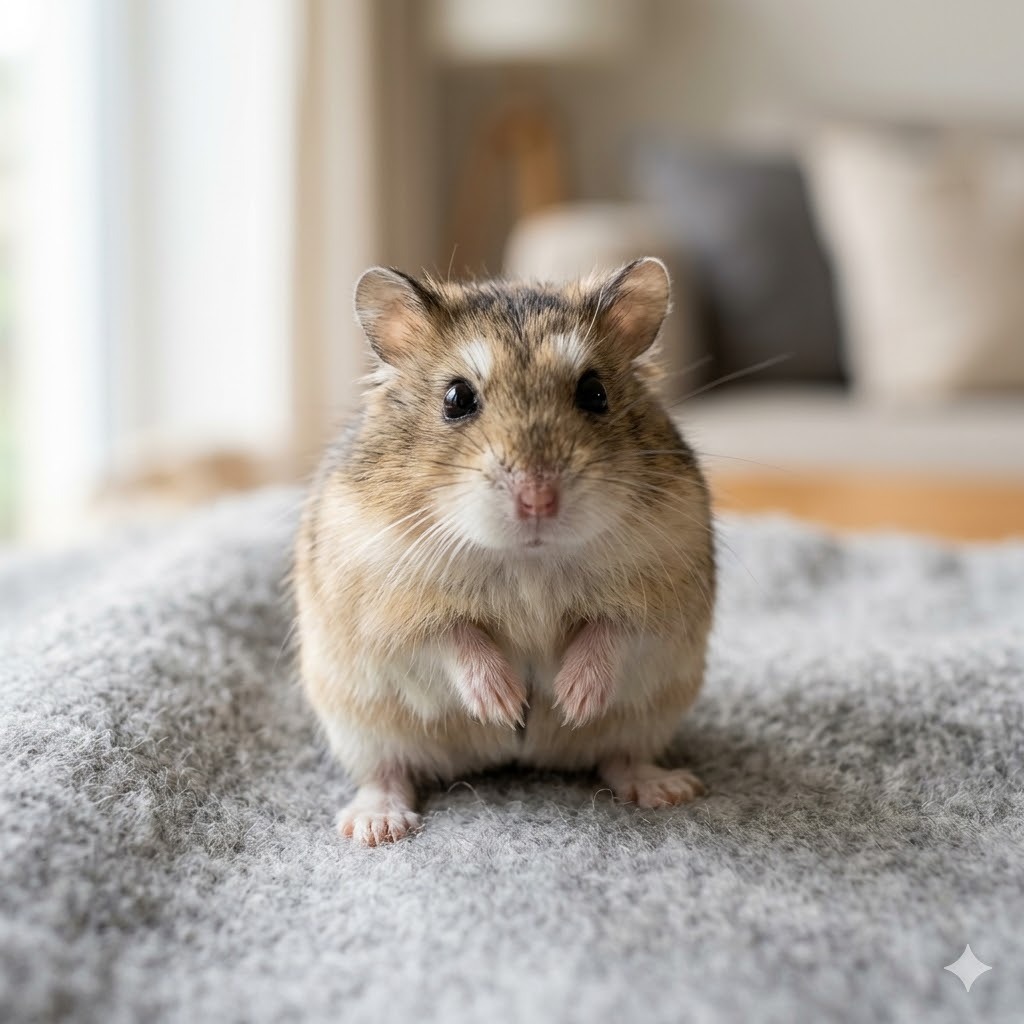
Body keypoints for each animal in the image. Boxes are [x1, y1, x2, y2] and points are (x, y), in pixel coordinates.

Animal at [293, 257, 715, 845]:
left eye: (594, 393)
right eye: (456, 399)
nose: (538, 499)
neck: (527, 557)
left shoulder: (661, 596)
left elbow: (609, 630)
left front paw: (568, 699)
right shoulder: (392, 608)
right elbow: (456, 636)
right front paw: (507, 703)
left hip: (649, 715)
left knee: (620, 758)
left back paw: (665, 788)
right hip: (360, 723)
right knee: (388, 772)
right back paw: (377, 826)